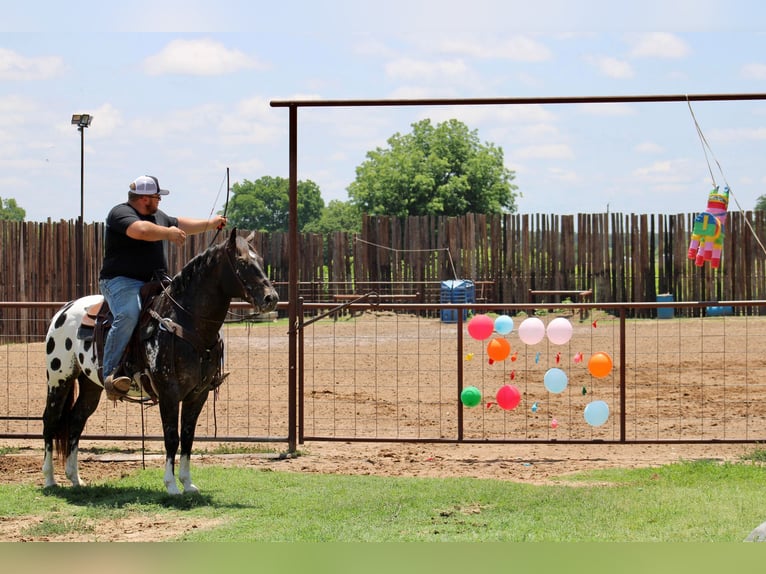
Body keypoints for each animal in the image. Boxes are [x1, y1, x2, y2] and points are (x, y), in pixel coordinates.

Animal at [41, 230, 280, 496]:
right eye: (242, 262)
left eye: (260, 260)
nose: (271, 298)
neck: (185, 321)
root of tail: (64, 310)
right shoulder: (169, 392)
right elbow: (171, 437)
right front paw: (171, 485)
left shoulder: (198, 394)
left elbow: (188, 437)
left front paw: (188, 483)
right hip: (59, 379)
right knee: (50, 421)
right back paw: (50, 479)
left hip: (90, 384)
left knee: (76, 421)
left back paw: (75, 479)